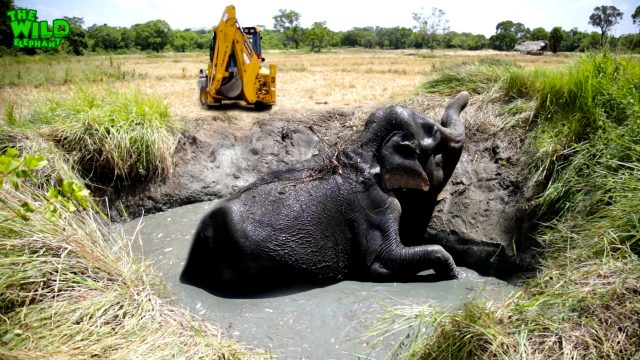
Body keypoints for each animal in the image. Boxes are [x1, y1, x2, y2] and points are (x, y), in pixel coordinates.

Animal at [180, 91, 470, 294]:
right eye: (434, 134)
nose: (466, 94)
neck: (363, 144)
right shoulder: (374, 204)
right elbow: (382, 262)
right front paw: (455, 273)